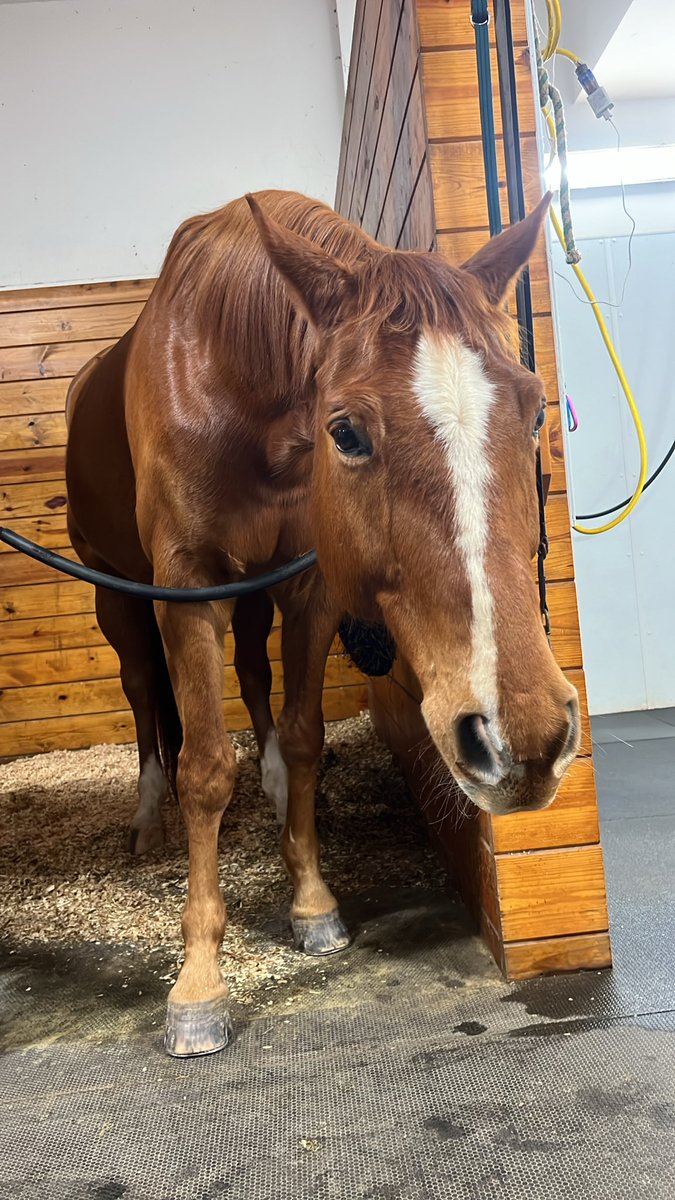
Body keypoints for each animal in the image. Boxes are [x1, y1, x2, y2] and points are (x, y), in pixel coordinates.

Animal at [65, 188, 580, 1057]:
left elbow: (305, 737)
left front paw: (310, 900)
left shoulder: (306, 586)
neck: (230, 368)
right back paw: (145, 818)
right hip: (121, 594)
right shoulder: (186, 584)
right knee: (143, 697)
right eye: (344, 431)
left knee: (252, 675)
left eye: (534, 405)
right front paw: (198, 982)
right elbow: (205, 768)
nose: (525, 741)